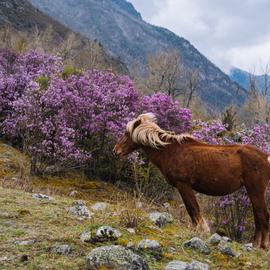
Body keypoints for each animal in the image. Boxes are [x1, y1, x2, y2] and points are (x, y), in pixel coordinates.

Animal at [113, 112, 270, 249]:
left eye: (126, 133)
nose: (116, 150)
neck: (170, 151)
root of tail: (265, 156)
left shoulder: (184, 185)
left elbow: (192, 208)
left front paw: (200, 230)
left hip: (255, 190)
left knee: (263, 216)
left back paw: (262, 246)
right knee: (258, 217)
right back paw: (256, 244)